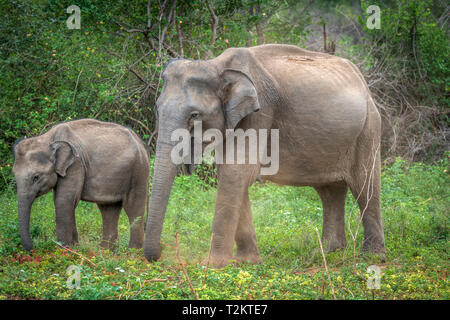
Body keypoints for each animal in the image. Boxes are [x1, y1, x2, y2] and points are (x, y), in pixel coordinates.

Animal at [11, 119, 149, 250]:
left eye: (36, 177)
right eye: (14, 175)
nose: (33, 246)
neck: (47, 138)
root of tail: (140, 142)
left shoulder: (76, 164)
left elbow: (63, 200)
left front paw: (65, 250)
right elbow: (66, 201)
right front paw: (75, 247)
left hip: (139, 171)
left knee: (133, 207)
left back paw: (133, 252)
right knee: (108, 209)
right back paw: (106, 251)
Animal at [145, 43, 386, 266]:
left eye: (194, 115)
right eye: (157, 109)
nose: (159, 254)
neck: (216, 65)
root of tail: (362, 80)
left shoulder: (260, 112)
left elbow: (236, 172)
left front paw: (211, 265)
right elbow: (231, 173)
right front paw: (247, 261)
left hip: (369, 128)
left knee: (365, 185)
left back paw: (372, 257)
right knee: (330, 191)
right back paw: (328, 252)